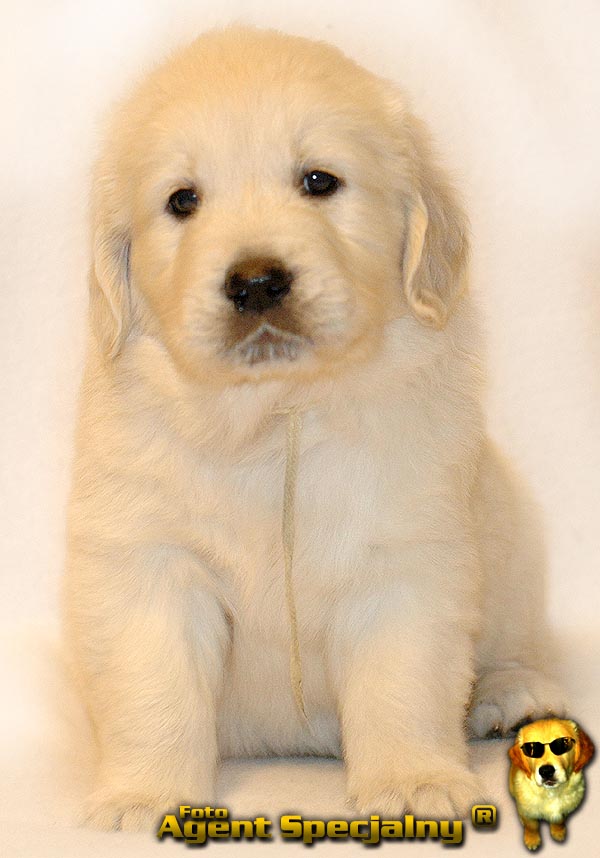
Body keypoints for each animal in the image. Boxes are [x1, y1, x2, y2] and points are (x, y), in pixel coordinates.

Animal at [64, 27, 565, 831]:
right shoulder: (148, 558)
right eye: (182, 201)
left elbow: (403, 682)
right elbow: (153, 688)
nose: (256, 282)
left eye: (319, 181)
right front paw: (144, 799)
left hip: (513, 536)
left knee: (514, 641)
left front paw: (413, 783)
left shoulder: (405, 557)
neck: (276, 414)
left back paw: (509, 693)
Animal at [509, 718, 594, 850]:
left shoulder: (564, 811)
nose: (546, 771)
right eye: (531, 748)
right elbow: (531, 826)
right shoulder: (527, 812)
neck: (551, 793)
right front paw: (532, 839)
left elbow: (558, 821)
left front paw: (558, 832)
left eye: (564, 743)